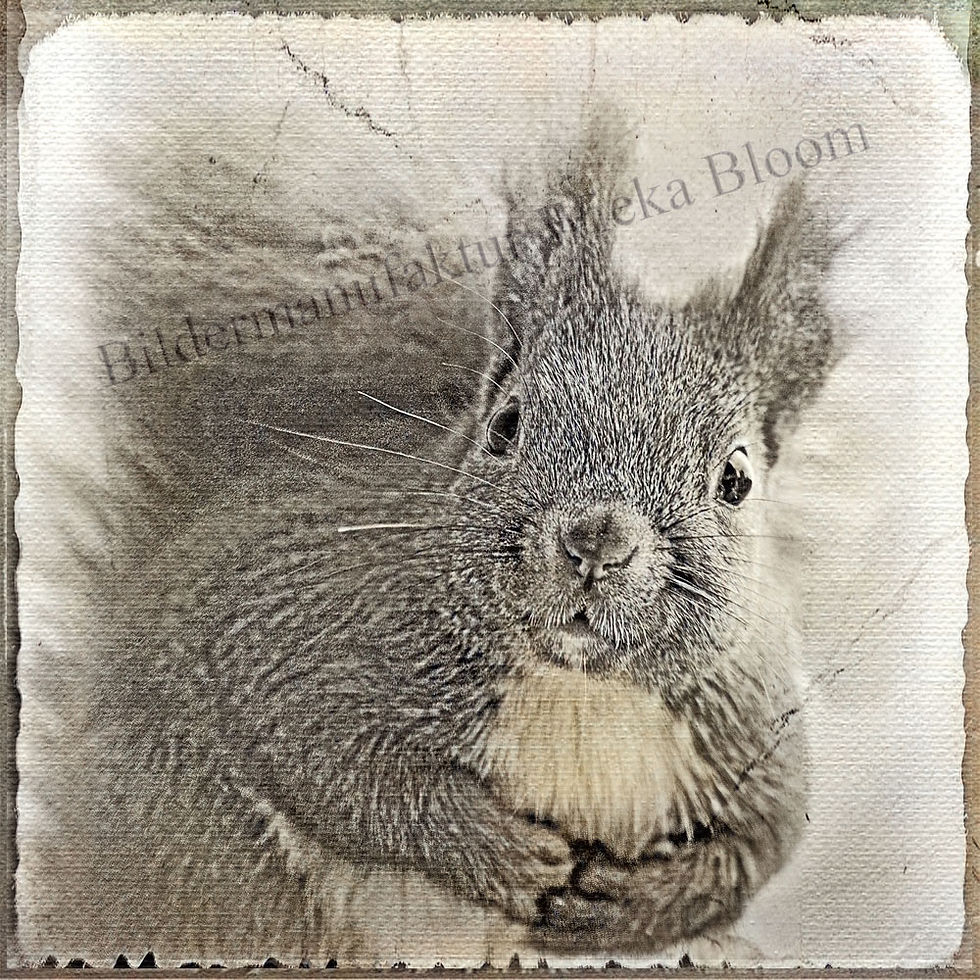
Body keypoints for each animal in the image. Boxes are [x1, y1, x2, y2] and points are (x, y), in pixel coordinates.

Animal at [54, 129, 837, 963]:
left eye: (737, 479)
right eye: (505, 424)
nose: (596, 542)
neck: (579, 687)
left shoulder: (747, 726)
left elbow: (758, 846)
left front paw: (629, 903)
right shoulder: (298, 623)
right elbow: (330, 758)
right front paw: (504, 855)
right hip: (209, 849)